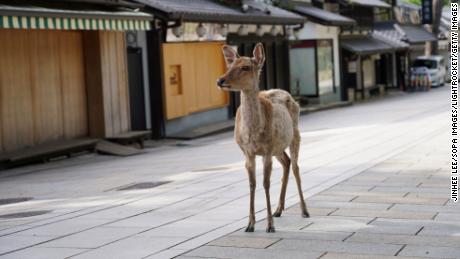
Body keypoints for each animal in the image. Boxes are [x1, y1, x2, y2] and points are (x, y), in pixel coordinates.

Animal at [216, 43, 310, 234]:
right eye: (230, 65)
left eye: (245, 67)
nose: (220, 80)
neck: (252, 133)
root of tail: (288, 94)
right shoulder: (248, 153)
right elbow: (252, 184)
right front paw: (249, 225)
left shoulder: (266, 151)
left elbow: (266, 183)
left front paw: (269, 226)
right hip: (278, 147)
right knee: (287, 162)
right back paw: (278, 210)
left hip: (294, 135)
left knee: (296, 167)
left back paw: (304, 211)